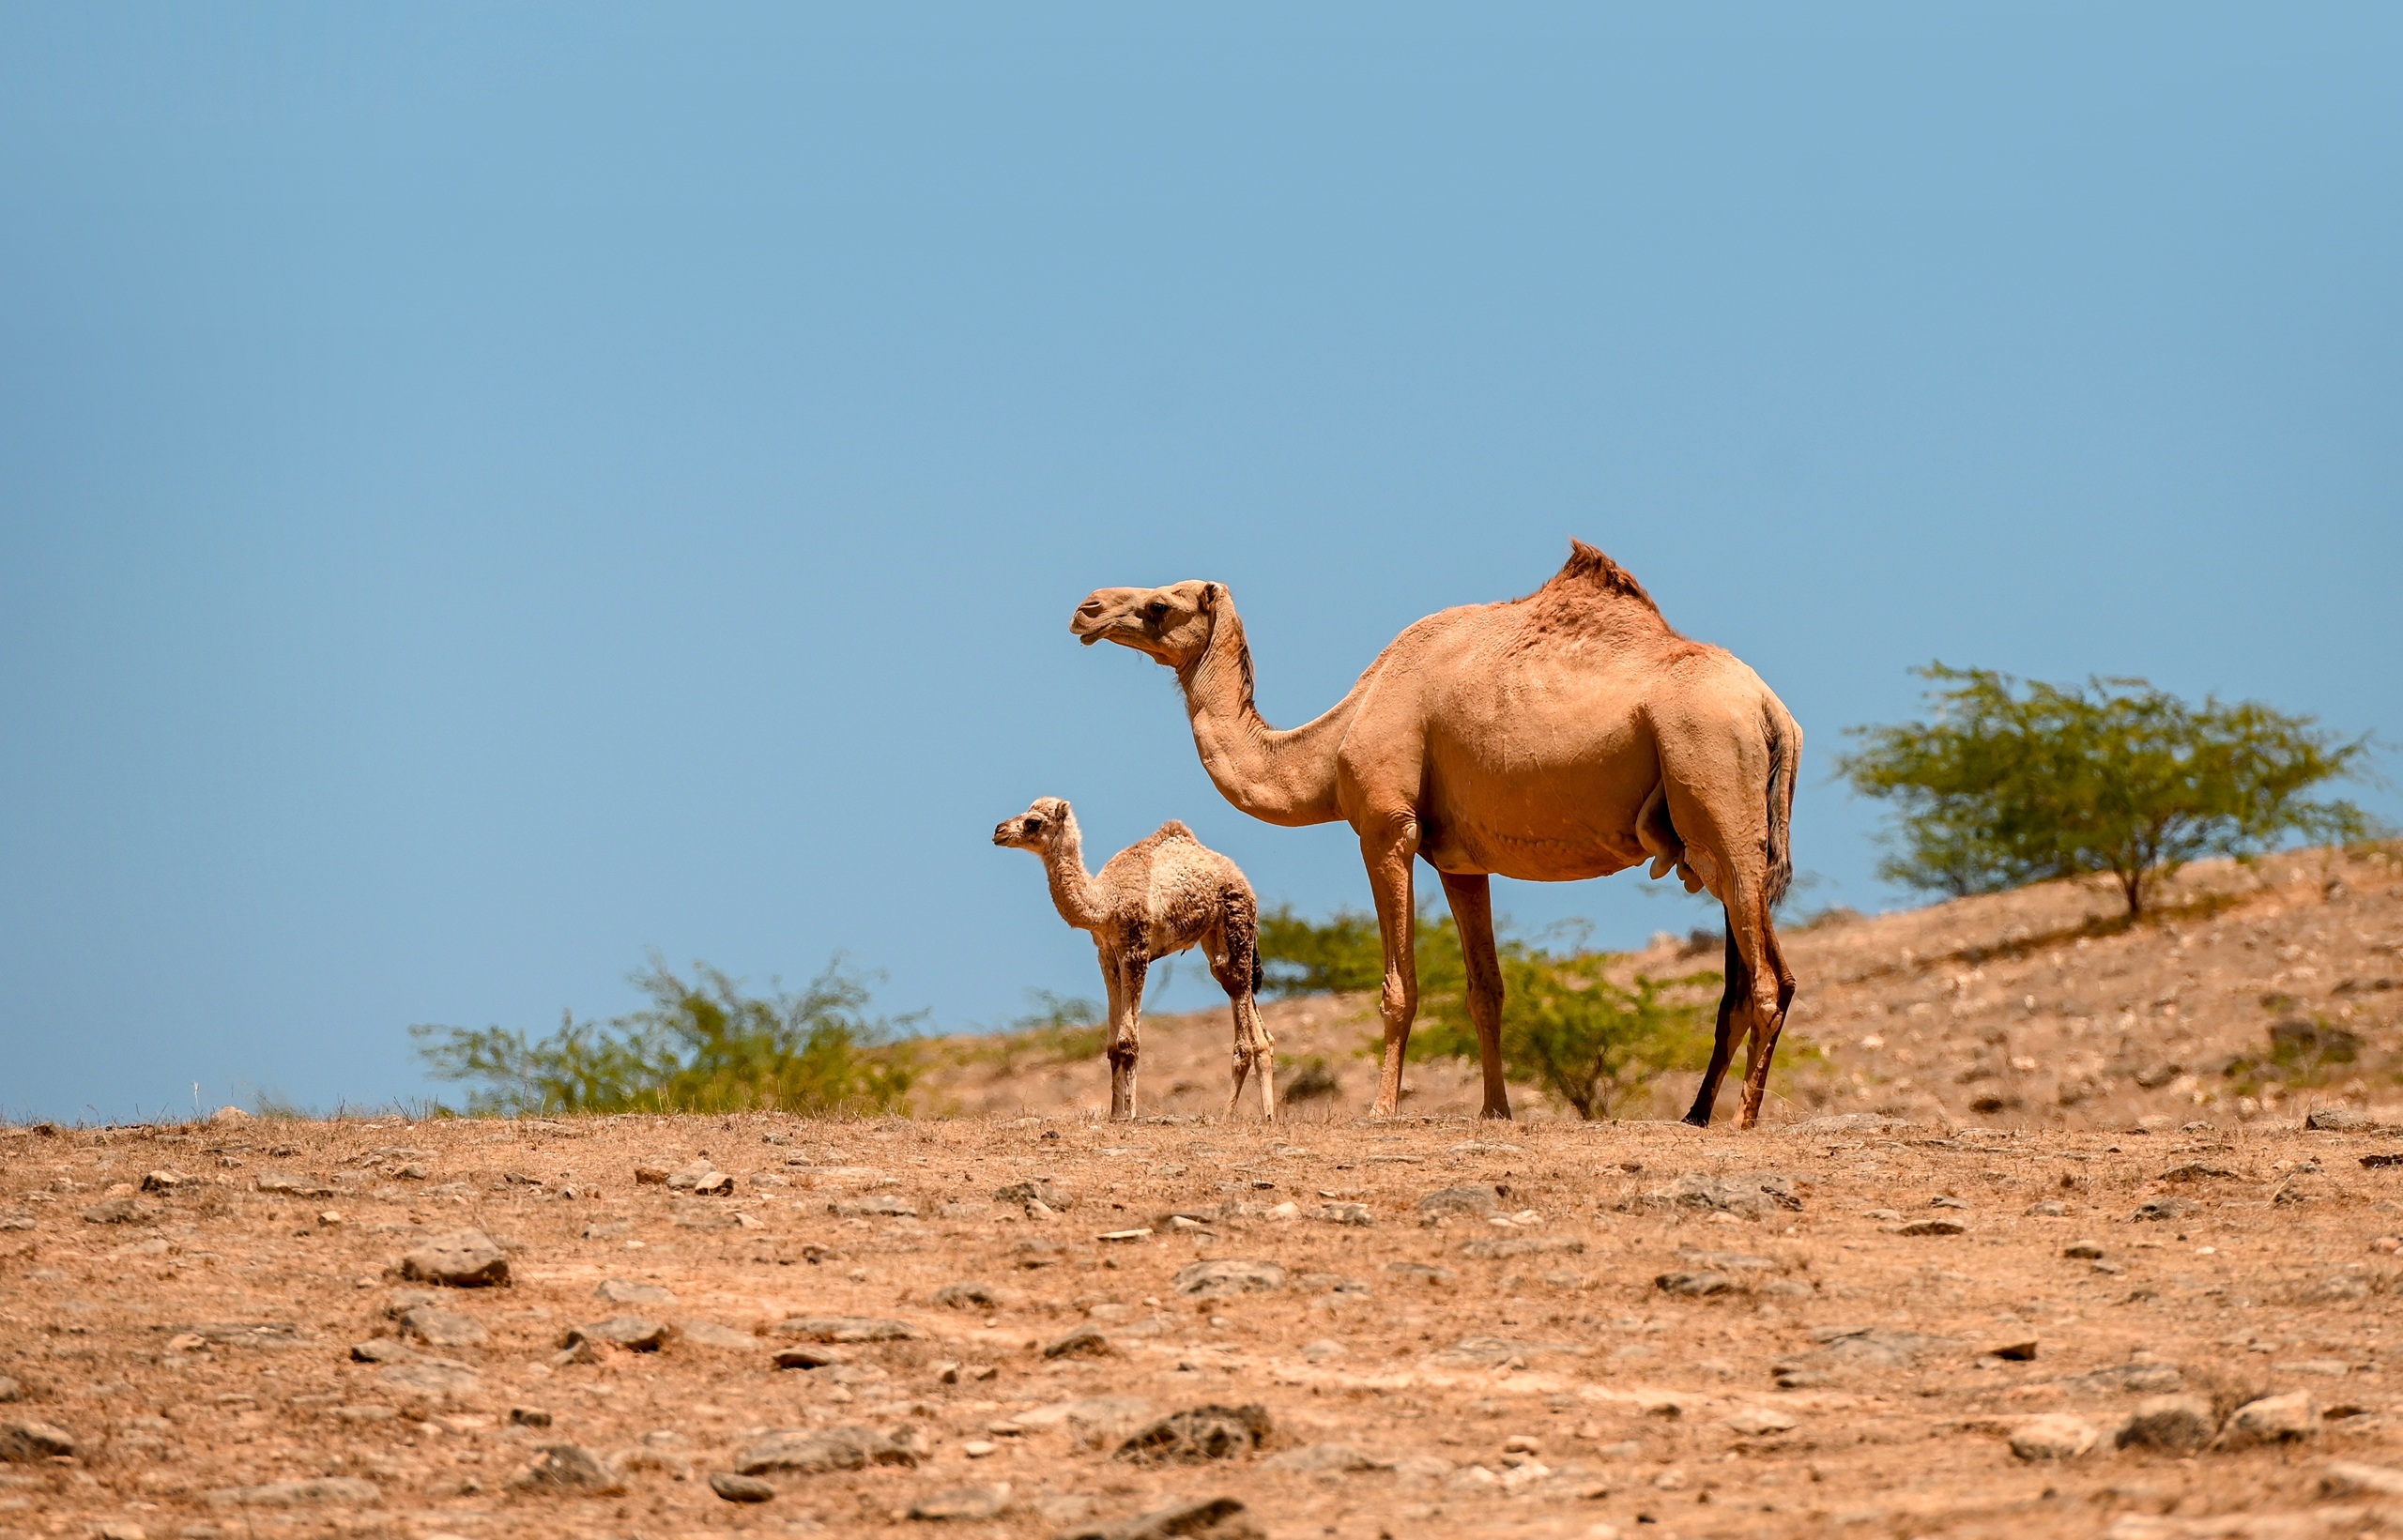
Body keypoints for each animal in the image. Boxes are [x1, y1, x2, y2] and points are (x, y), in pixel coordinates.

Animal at [991, 797, 1276, 1122]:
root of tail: (1243, 881)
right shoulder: (1107, 953)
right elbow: (1113, 1046)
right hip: (1216, 941)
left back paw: (1227, 1114)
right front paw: (1115, 1114)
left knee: (1244, 1027)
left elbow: (1128, 1042)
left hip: (1237, 921)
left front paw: (1129, 1114)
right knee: (1250, 1012)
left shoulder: (1135, 948)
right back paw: (1268, 1116)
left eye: (1033, 821)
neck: (1105, 903)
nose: (999, 830)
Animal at [1070, 540, 1800, 1129]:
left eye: (1160, 604)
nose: (1086, 608)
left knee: (1770, 979)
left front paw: (1381, 1107)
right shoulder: (1460, 860)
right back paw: (1697, 1112)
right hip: (1718, 838)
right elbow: (1486, 990)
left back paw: (1742, 1117)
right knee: (1745, 981)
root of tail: (1775, 712)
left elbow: (1400, 986)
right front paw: (1495, 1110)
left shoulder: (1386, 828)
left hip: (1717, 788)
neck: (1335, 740)